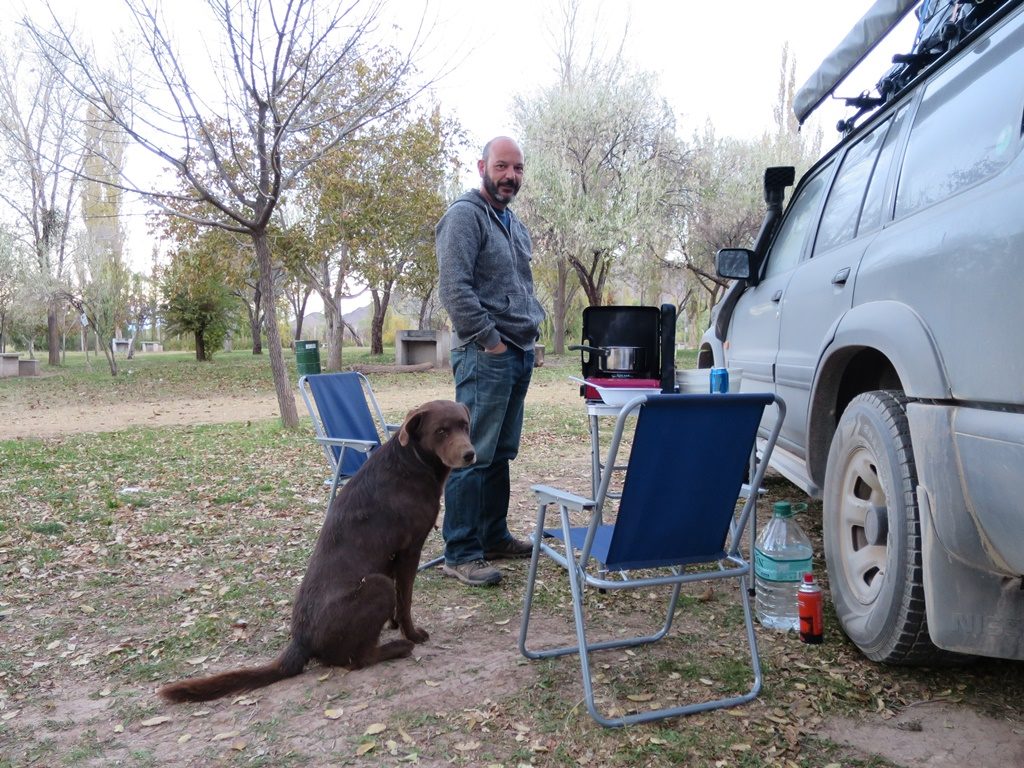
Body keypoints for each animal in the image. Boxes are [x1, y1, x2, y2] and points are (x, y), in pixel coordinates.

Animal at [158, 399, 475, 708]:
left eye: (465, 426)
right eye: (441, 431)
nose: (470, 454)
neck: (413, 462)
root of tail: (301, 641)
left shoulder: (395, 558)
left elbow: (400, 603)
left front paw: (393, 624)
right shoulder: (409, 550)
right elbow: (405, 600)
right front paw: (411, 634)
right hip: (376, 584)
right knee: (357, 660)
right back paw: (399, 647)